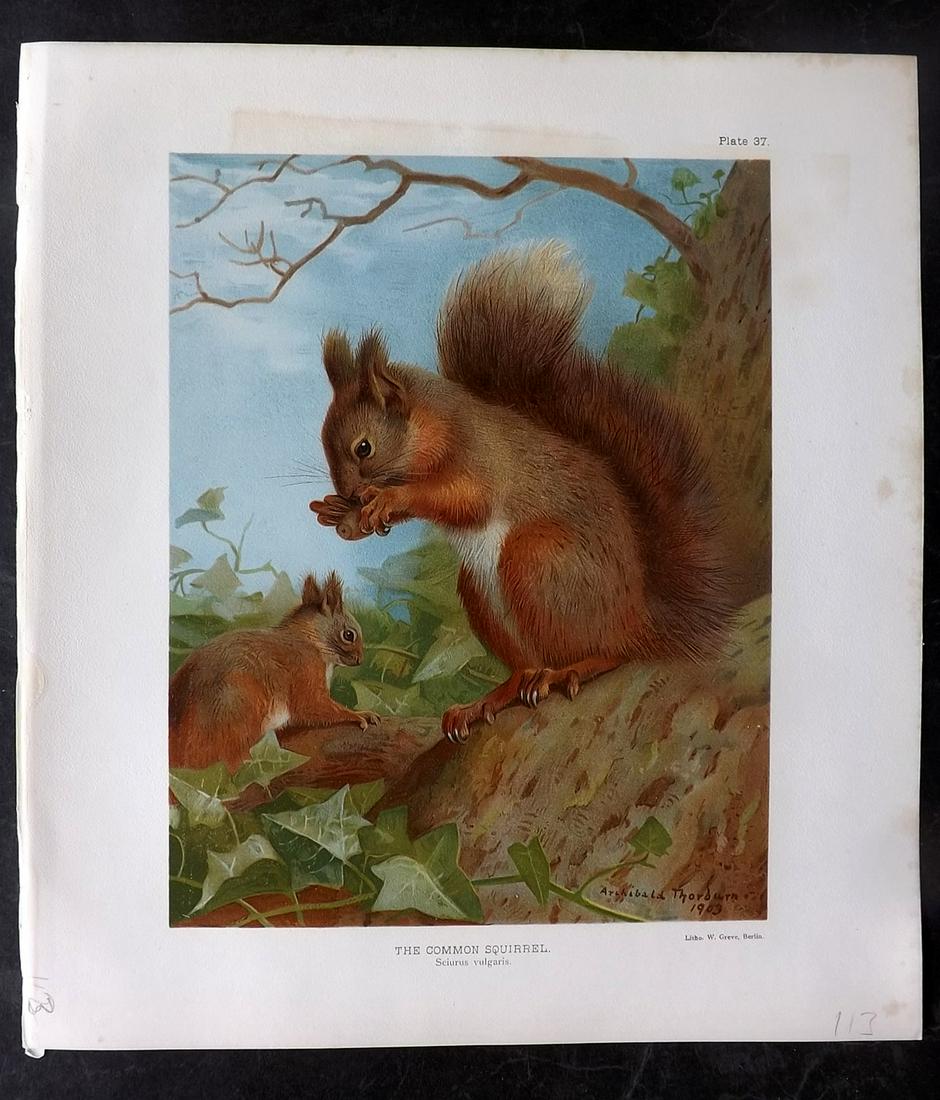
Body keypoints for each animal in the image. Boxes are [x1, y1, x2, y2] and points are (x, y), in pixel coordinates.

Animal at [169, 571, 378, 772]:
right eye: (349, 635)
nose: (360, 659)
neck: (311, 640)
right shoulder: (305, 671)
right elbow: (313, 706)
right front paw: (359, 715)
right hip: (239, 710)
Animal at [312, 242, 735, 743]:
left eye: (364, 447)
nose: (348, 492)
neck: (434, 425)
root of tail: (640, 620)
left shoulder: (480, 460)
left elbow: (462, 498)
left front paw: (389, 500)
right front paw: (334, 512)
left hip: (537, 562)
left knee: (610, 650)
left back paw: (574, 668)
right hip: (480, 591)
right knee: (524, 667)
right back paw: (489, 698)